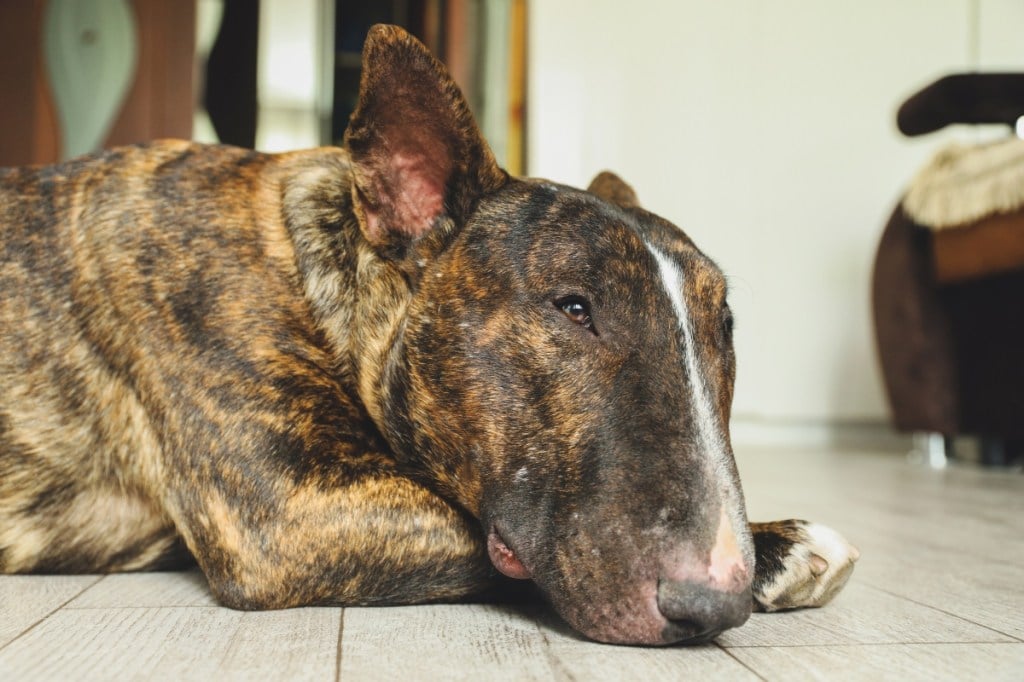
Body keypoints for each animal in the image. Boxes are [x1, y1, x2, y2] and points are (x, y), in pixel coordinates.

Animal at [0, 26, 856, 643]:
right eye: (574, 307)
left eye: (725, 329)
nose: (712, 604)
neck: (317, 273)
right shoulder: (286, 515)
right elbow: (474, 534)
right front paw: (783, 544)